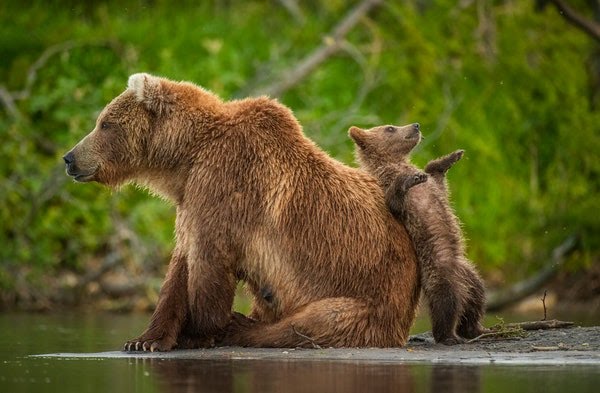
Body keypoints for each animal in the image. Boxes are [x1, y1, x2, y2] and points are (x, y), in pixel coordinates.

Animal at [63, 73, 420, 350]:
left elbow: (208, 263)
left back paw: (241, 325)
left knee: (316, 321)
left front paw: (197, 333)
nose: (69, 158)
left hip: (369, 294)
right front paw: (144, 340)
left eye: (104, 123)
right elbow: (179, 267)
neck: (186, 158)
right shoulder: (192, 198)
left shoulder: (226, 186)